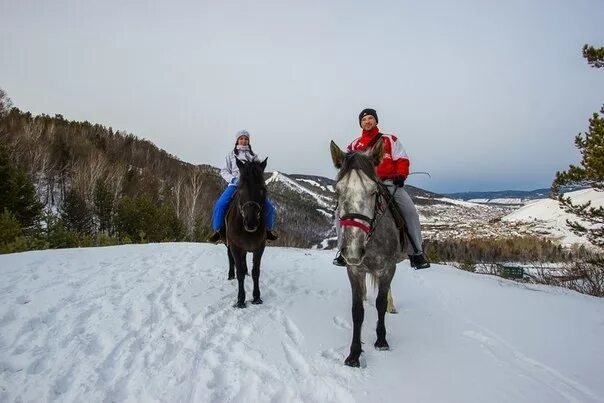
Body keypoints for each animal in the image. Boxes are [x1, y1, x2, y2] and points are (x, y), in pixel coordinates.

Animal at [330, 139, 406, 370]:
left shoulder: (388, 268)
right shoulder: (354, 270)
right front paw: (354, 354)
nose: (353, 250)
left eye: (374, 191)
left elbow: (380, 303)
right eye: (337, 191)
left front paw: (381, 340)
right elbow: (357, 311)